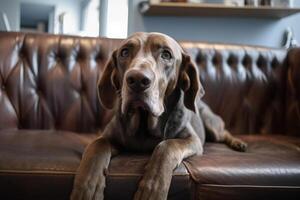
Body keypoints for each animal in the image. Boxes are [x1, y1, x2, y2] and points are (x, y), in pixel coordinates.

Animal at [70, 32, 246, 200]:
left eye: (166, 55)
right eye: (124, 52)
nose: (137, 80)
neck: (143, 124)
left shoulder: (192, 140)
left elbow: (166, 146)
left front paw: (152, 189)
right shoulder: (108, 136)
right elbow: (96, 146)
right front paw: (87, 188)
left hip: (211, 124)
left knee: (224, 132)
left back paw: (238, 143)